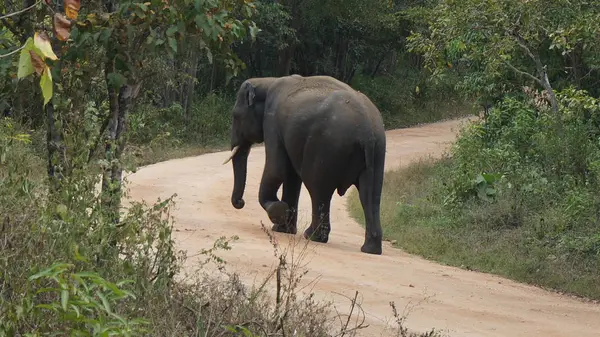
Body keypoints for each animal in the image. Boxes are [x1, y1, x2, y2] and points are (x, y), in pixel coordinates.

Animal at [223, 73, 386, 252]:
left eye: (236, 115)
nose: (240, 202)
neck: (267, 81)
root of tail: (367, 131)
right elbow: (291, 176)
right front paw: (283, 229)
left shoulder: (272, 122)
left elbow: (276, 170)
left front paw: (279, 214)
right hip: (378, 151)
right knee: (370, 195)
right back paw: (370, 249)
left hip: (325, 146)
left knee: (318, 188)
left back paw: (312, 236)